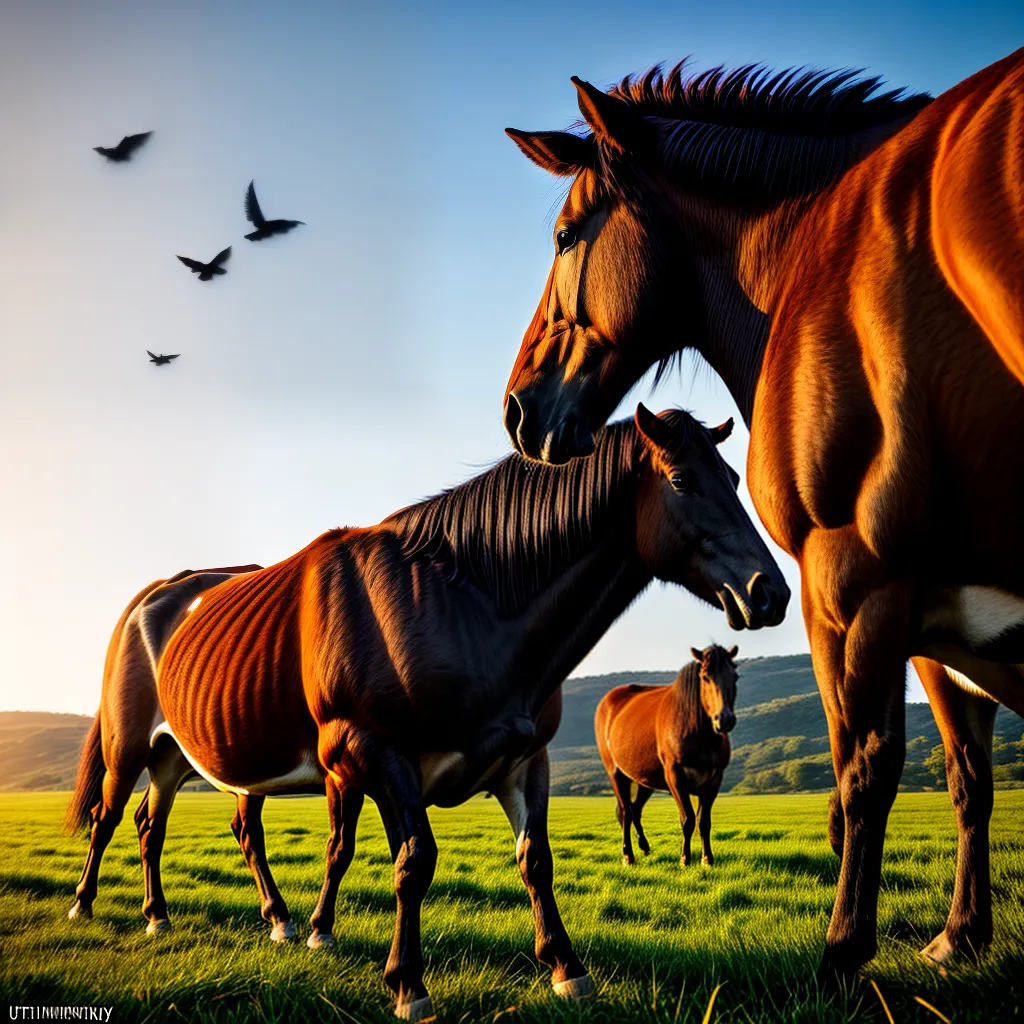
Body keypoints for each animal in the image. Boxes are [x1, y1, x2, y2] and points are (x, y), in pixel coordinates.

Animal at [65, 564, 314, 943]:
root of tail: (166, 582)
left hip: (178, 759)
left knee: (155, 823)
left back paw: (159, 913)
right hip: (127, 752)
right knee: (105, 818)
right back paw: (83, 902)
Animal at [595, 644, 738, 868]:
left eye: (735, 676)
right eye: (705, 677)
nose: (724, 719)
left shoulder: (714, 780)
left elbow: (703, 822)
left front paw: (707, 859)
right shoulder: (675, 777)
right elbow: (687, 819)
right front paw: (685, 859)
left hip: (644, 780)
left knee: (635, 810)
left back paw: (644, 847)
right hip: (616, 774)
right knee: (626, 812)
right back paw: (628, 855)